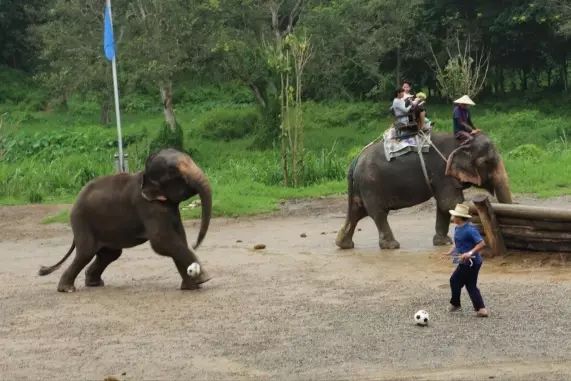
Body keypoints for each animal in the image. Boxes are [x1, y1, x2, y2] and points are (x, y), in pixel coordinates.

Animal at [38, 148, 212, 290]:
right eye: (175, 172)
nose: (195, 245)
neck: (144, 175)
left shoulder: (169, 208)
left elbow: (178, 238)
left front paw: (192, 286)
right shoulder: (147, 207)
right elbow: (161, 241)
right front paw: (204, 278)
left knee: (109, 254)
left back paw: (94, 283)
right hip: (82, 221)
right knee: (86, 253)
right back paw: (67, 289)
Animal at [336, 134, 512, 249]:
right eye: (487, 162)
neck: (462, 142)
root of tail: (355, 161)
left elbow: (445, 205)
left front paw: (443, 242)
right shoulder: (443, 173)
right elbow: (450, 202)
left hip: (362, 187)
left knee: (357, 212)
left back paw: (343, 244)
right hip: (371, 185)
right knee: (377, 213)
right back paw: (392, 245)